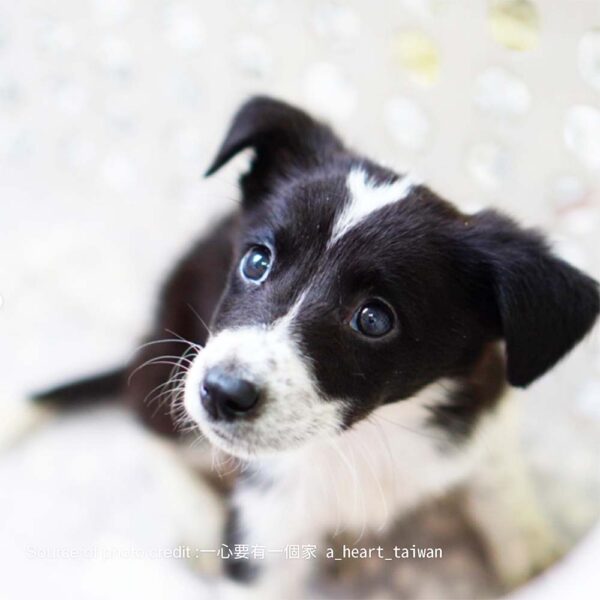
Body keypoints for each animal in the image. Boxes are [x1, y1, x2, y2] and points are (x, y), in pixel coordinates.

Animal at [37, 96, 600, 596]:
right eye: (256, 261)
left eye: (373, 319)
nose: (221, 393)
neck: (370, 435)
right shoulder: (266, 524)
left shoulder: (485, 421)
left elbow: (503, 489)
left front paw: (537, 558)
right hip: (172, 346)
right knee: (146, 419)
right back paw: (197, 520)